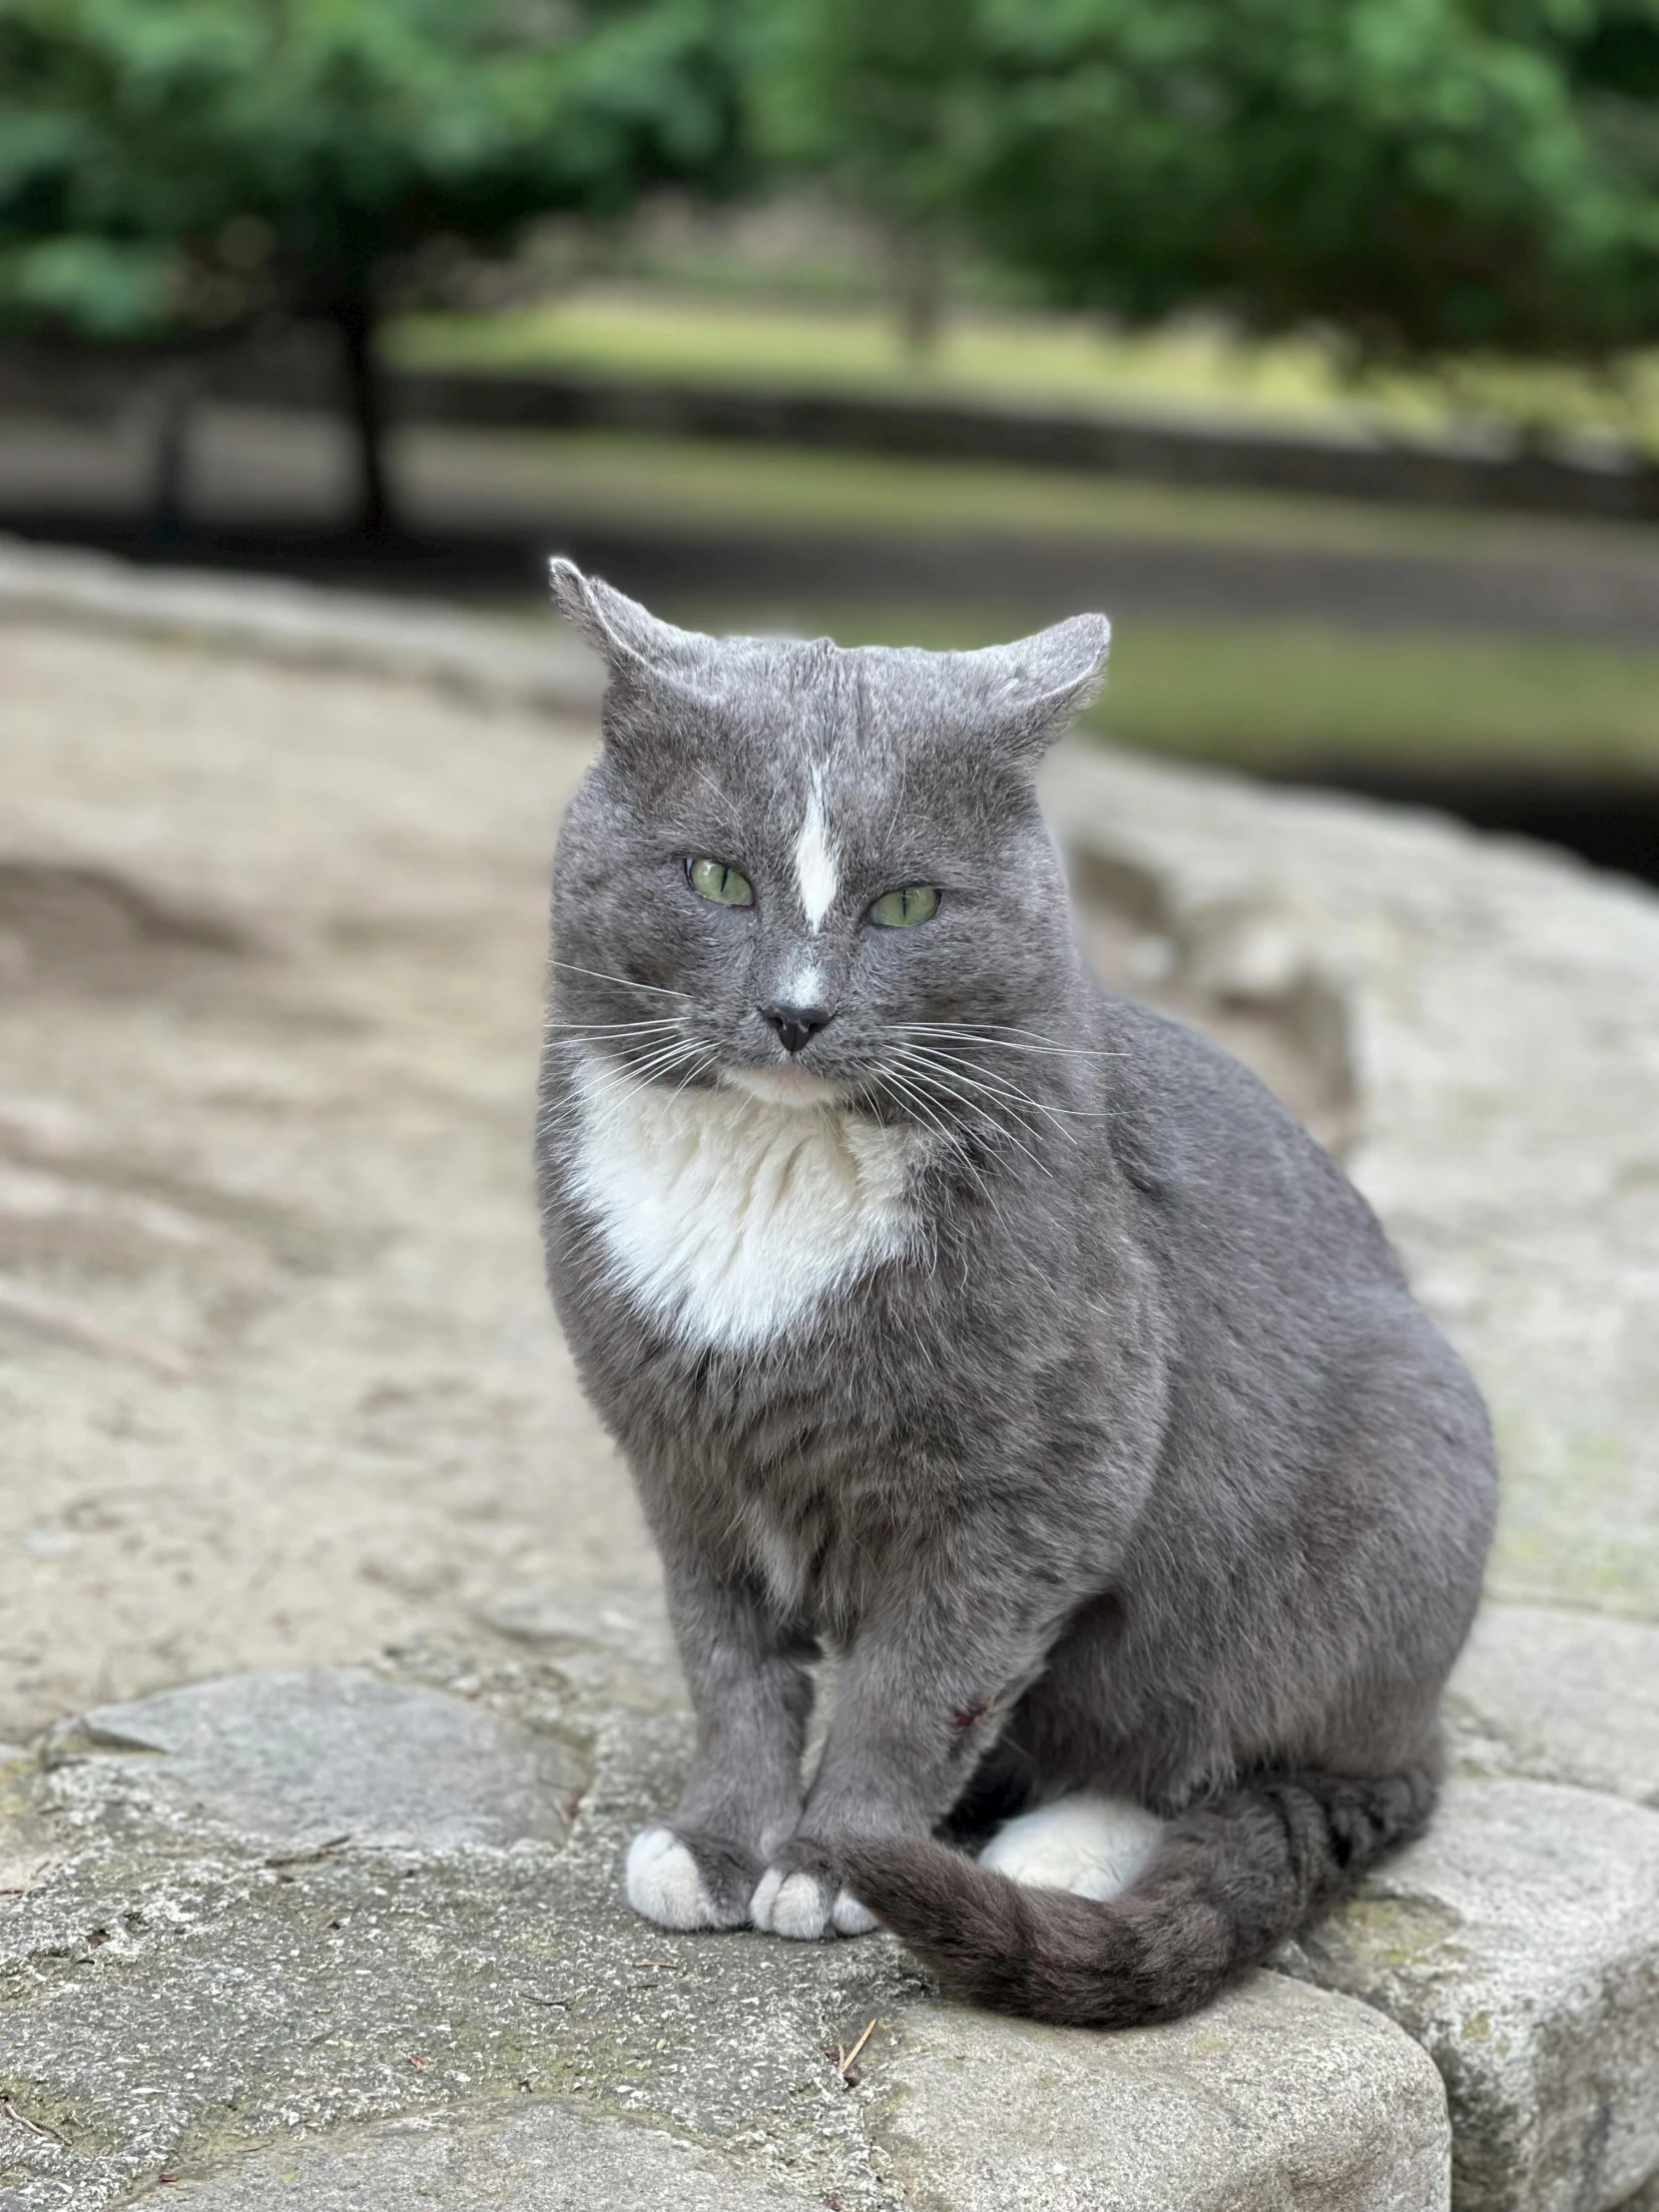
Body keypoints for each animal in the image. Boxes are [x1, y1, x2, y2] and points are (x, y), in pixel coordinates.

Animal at [539, 561, 1503, 2025]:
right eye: (714, 876)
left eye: (905, 906)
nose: (795, 1011)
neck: (766, 1189)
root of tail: (1421, 1727)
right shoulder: (683, 1465)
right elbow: (729, 1671)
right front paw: (716, 1843)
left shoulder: (1035, 1485)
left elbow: (917, 1684)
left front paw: (835, 1860)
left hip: (1388, 1473)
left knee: (1216, 1739)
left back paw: (1051, 1847)